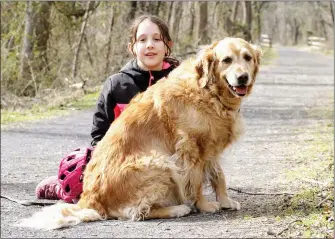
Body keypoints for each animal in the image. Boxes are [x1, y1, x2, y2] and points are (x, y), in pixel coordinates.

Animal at [18, 37, 262, 230]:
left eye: (247, 57)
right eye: (226, 60)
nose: (242, 77)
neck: (209, 92)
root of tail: (89, 199)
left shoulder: (210, 148)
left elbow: (219, 176)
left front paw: (226, 201)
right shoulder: (190, 148)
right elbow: (196, 183)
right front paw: (204, 205)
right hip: (161, 163)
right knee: (136, 212)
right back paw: (178, 209)